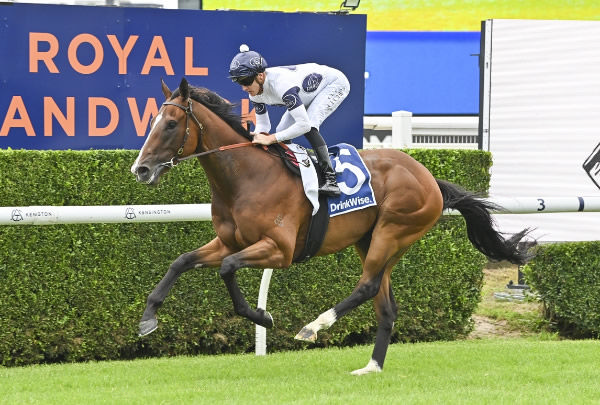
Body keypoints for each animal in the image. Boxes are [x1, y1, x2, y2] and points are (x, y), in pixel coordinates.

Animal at [131, 77, 528, 374]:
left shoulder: (279, 250)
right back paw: (371, 367)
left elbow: (228, 269)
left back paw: (313, 327)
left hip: (394, 231)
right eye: (152, 123)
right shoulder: (229, 241)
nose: (141, 169)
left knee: (366, 286)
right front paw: (148, 319)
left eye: (170, 124)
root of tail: (429, 177)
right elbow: (181, 261)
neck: (247, 179)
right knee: (385, 303)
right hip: (372, 241)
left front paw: (263, 316)